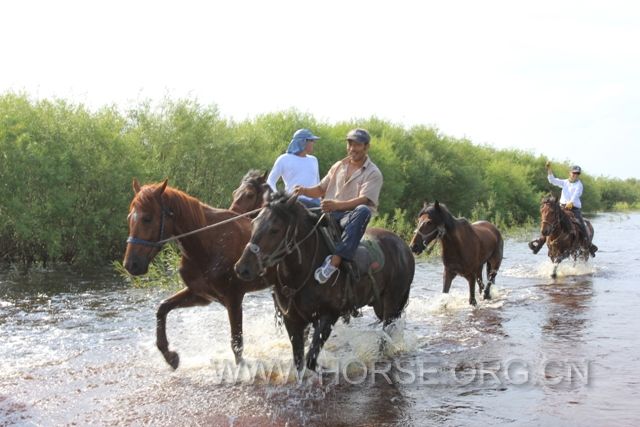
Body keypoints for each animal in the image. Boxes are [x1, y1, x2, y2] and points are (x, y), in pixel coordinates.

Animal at [123, 176, 272, 369]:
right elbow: (163, 308)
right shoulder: (201, 295)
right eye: (129, 218)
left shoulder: (233, 299)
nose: (131, 264)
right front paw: (169, 355)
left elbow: (236, 344)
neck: (206, 244)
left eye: (147, 219)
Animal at [233, 192, 415, 373]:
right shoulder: (292, 320)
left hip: (392, 304)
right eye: (253, 223)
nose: (242, 268)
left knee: (387, 334)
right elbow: (299, 362)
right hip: (380, 305)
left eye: (275, 229)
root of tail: (404, 246)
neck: (303, 272)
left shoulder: (329, 316)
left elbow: (311, 360)